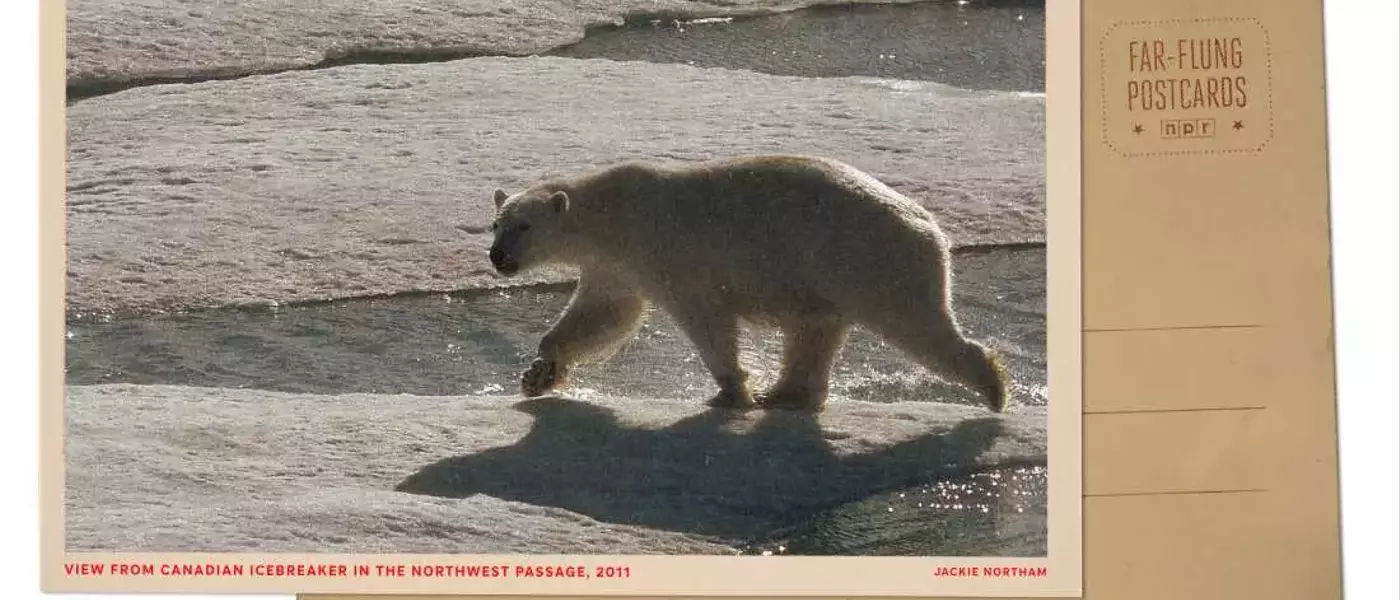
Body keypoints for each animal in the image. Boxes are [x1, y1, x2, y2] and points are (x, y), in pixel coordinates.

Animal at [485, 155, 1008, 412]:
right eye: (496, 224)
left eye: (524, 226)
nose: (497, 257)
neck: (614, 214)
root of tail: (932, 227)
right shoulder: (616, 266)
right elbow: (603, 314)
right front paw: (539, 373)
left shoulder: (668, 252)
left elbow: (706, 320)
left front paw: (732, 392)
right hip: (830, 278)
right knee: (815, 331)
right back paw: (787, 395)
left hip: (871, 261)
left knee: (917, 325)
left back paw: (994, 387)